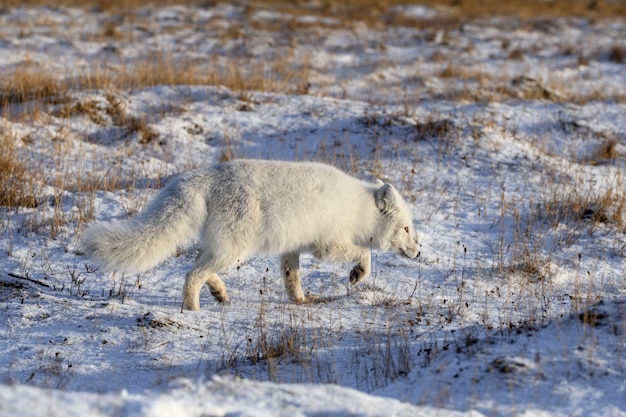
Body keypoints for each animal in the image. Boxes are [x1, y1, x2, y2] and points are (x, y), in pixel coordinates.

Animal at [79, 159, 420, 308]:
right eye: (406, 228)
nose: (418, 252)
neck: (359, 209)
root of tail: (204, 175)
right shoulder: (326, 245)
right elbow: (365, 255)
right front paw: (357, 274)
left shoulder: (291, 248)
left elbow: (292, 278)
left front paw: (300, 301)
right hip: (235, 250)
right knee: (192, 274)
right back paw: (192, 310)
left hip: (225, 249)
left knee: (199, 267)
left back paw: (219, 292)